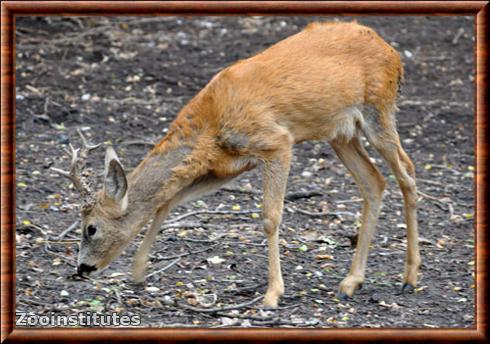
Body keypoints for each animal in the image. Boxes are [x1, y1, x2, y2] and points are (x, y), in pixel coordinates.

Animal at [52, 20, 422, 306]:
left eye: (91, 228)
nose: (82, 268)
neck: (211, 123)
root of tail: (391, 51)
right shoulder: (226, 164)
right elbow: (168, 201)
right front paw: (138, 271)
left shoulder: (276, 142)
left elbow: (270, 217)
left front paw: (272, 294)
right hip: (340, 133)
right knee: (374, 181)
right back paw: (351, 282)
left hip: (378, 109)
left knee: (408, 173)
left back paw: (409, 278)